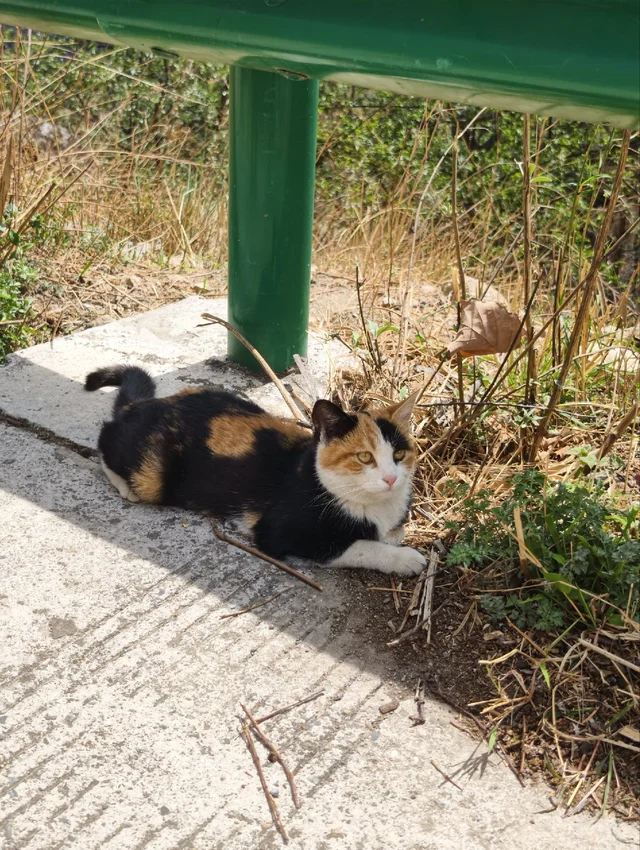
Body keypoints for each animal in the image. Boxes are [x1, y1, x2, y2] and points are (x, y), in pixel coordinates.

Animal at [85, 365, 426, 576]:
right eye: (365, 457)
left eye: (399, 454)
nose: (391, 478)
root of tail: (143, 405)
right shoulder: (280, 532)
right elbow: (360, 546)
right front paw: (406, 559)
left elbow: (394, 533)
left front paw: (395, 537)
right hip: (151, 474)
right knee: (105, 435)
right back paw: (124, 484)